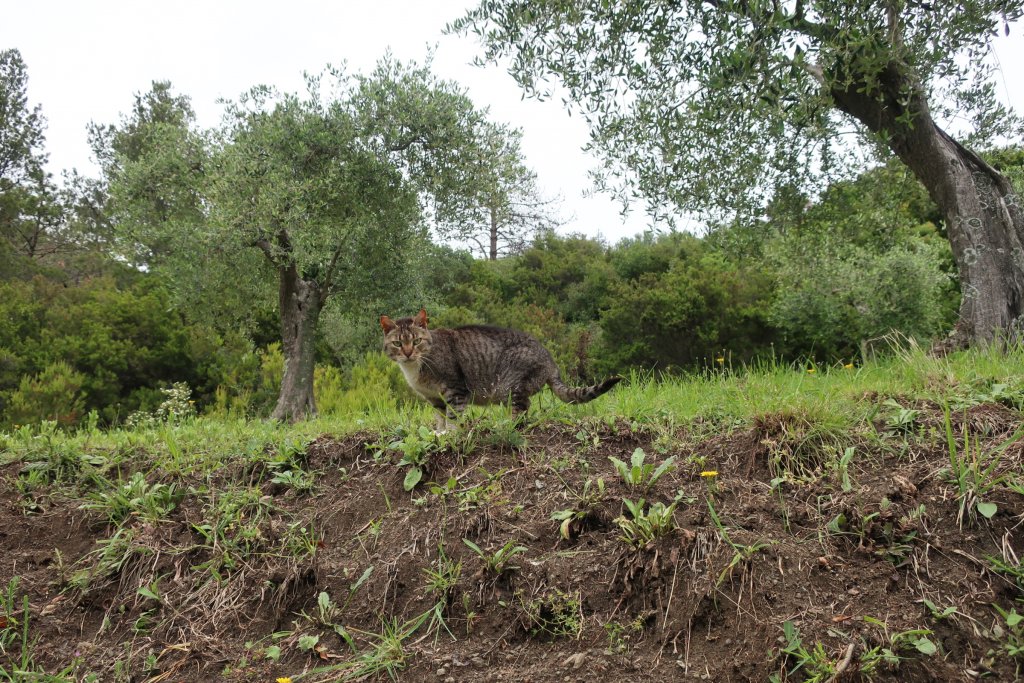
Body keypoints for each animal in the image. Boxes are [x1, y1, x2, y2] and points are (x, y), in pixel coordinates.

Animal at [382, 311, 622, 421]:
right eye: (397, 343)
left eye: (416, 341)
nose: (408, 353)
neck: (414, 371)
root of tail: (551, 360)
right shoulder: (435, 400)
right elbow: (440, 421)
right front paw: (438, 436)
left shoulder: (455, 390)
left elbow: (454, 419)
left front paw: (450, 436)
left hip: (511, 385)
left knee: (523, 407)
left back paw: (508, 424)